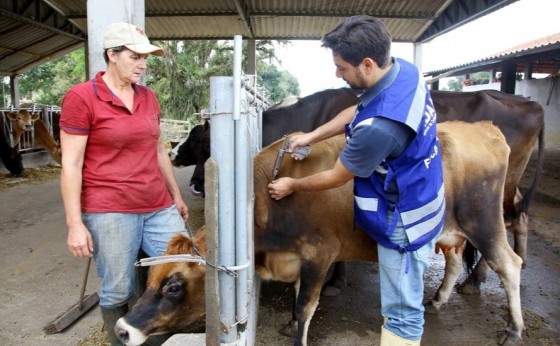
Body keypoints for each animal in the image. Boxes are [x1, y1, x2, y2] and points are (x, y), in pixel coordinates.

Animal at [114, 121, 524, 346]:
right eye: (151, 277)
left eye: (174, 286)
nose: (122, 329)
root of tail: (484, 128)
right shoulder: (298, 258)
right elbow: (297, 297)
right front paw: (289, 324)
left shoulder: (319, 253)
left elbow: (305, 304)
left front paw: (298, 329)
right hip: (449, 231)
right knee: (454, 261)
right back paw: (437, 300)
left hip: (485, 223)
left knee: (510, 265)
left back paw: (514, 329)